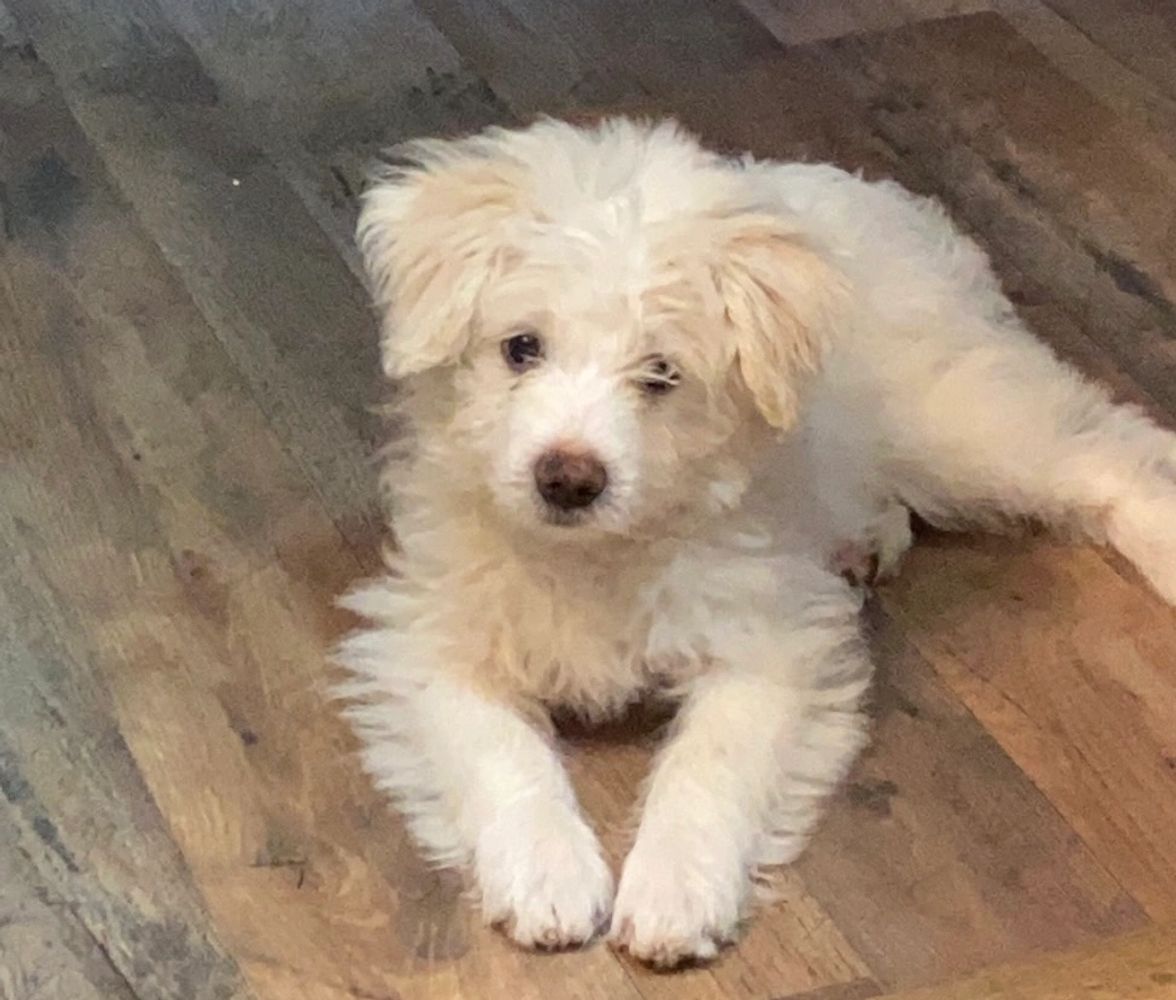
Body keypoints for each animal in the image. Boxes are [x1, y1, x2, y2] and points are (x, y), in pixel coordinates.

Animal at [333, 117, 1176, 964]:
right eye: (520, 348)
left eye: (662, 373)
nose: (567, 479)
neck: (602, 552)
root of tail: (890, 202)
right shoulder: (430, 641)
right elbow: (498, 750)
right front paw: (548, 875)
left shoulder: (770, 646)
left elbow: (711, 761)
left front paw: (673, 894)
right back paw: (864, 539)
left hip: (959, 422)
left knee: (1106, 449)